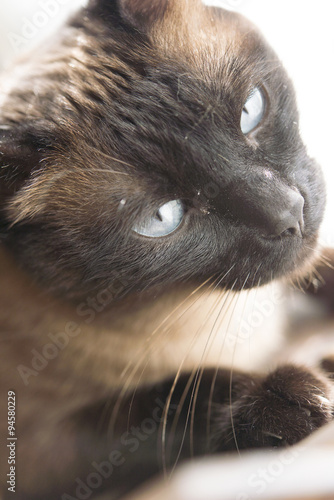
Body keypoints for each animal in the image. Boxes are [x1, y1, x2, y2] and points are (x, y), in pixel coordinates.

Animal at [0, 0, 332, 500]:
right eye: (163, 218)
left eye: (250, 111)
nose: (288, 212)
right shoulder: (41, 448)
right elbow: (166, 404)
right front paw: (294, 397)